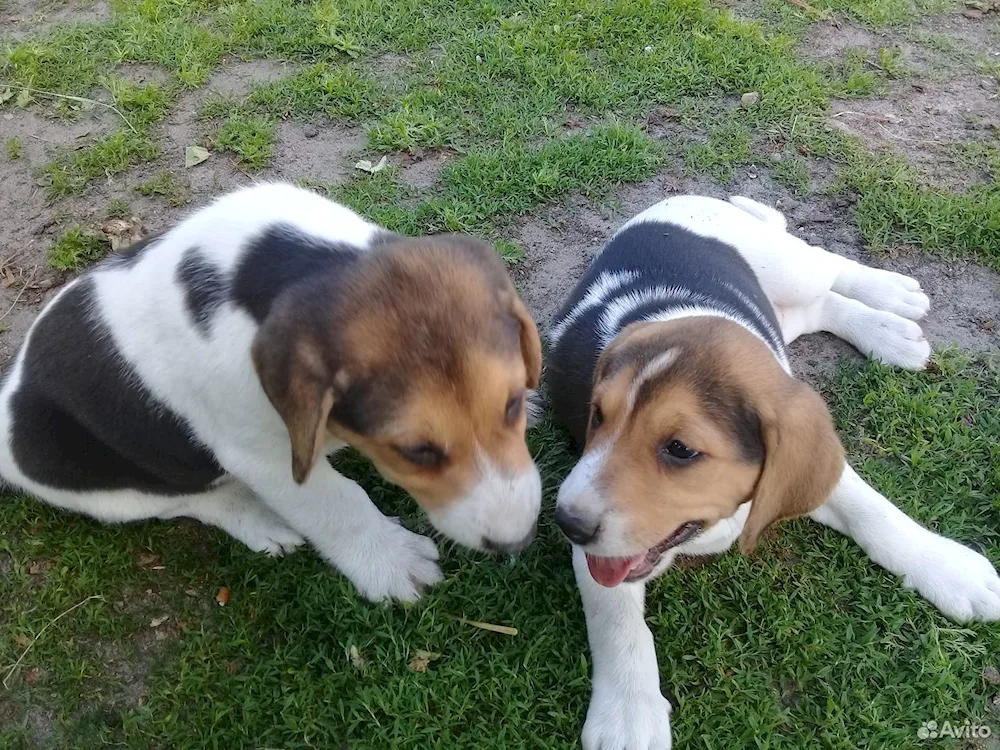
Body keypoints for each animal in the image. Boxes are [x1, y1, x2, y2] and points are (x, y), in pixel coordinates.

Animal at [544, 195, 1000, 750]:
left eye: (680, 449)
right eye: (597, 416)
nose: (566, 522)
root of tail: (682, 197)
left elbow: (875, 513)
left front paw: (950, 568)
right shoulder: (604, 552)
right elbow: (617, 624)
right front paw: (628, 714)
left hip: (787, 265)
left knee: (825, 265)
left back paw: (892, 301)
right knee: (817, 307)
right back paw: (888, 330)